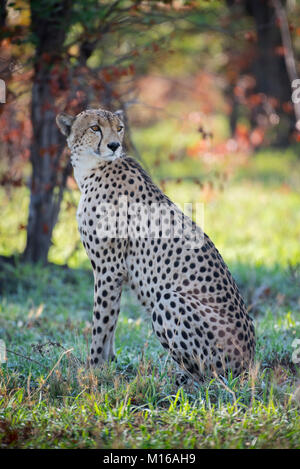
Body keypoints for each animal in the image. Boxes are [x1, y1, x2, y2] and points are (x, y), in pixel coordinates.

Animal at [56, 108, 255, 382]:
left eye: (119, 128)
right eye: (95, 127)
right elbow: (111, 321)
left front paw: (92, 370)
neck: (93, 168)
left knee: (209, 376)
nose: (114, 145)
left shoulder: (109, 268)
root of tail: (250, 363)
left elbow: (101, 322)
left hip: (168, 301)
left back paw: (172, 379)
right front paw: (107, 366)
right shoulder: (115, 273)